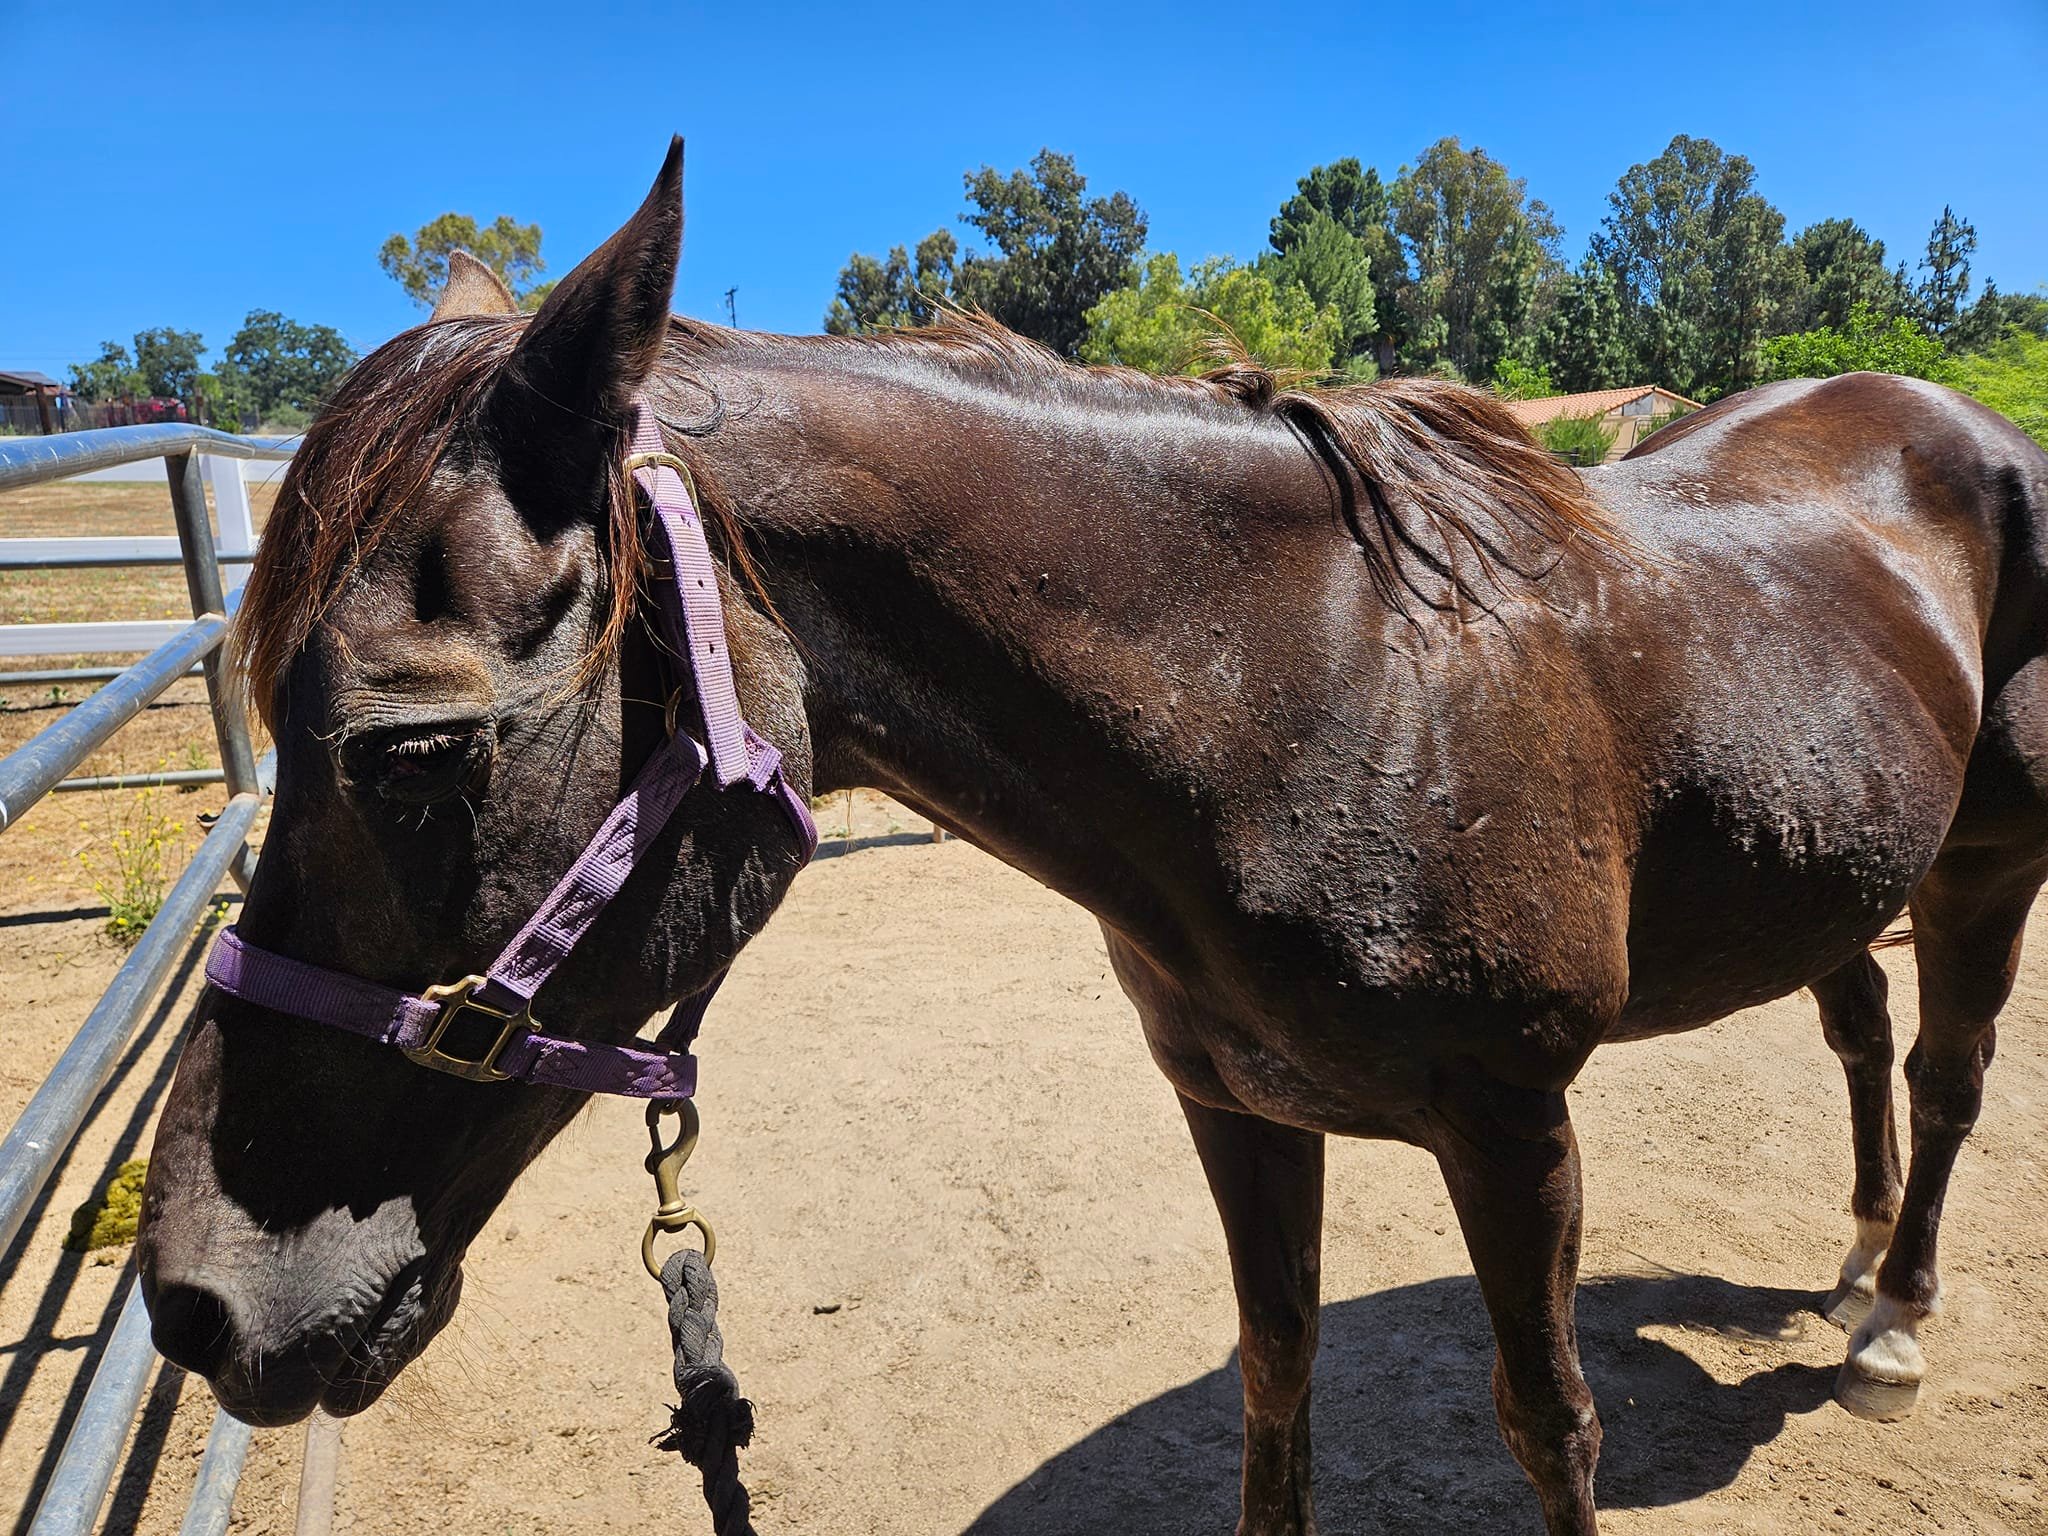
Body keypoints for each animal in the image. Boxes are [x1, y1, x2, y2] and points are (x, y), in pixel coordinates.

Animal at [136, 141, 2048, 1535]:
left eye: (413, 747)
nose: (196, 1306)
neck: (1319, 700)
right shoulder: (1236, 1106)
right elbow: (1276, 1379)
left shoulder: (1514, 1125)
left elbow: (1548, 1425)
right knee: (1862, 1029)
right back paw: (1853, 1254)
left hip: (1983, 871)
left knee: (1948, 1071)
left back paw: (1892, 1318)